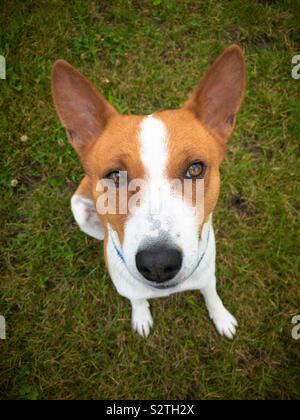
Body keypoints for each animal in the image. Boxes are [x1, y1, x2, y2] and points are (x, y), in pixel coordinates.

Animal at [51, 43, 245, 338]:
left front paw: (221, 317)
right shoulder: (129, 288)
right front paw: (141, 317)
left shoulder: (207, 274)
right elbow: (138, 300)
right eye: (115, 175)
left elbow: (211, 294)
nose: (157, 264)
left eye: (195, 169)